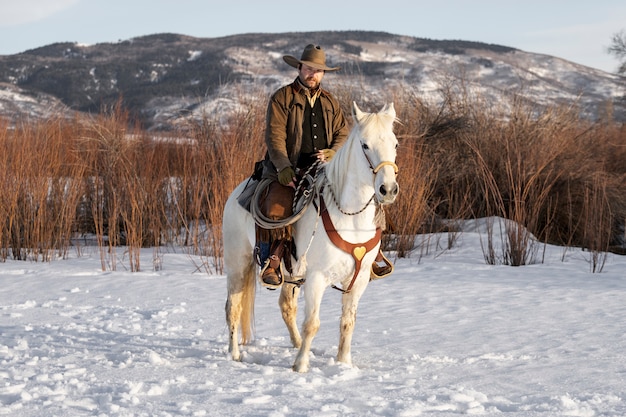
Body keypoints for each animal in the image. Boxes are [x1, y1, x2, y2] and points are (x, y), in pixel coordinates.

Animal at [222, 101, 398, 370]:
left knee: (286, 306)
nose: (387, 189)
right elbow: (312, 324)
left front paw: (343, 363)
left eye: (395, 144)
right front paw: (301, 366)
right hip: (237, 265)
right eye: (365, 145)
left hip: (290, 276)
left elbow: (348, 322)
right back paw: (235, 355)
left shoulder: (357, 281)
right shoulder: (317, 278)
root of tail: (237, 194)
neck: (349, 218)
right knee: (233, 307)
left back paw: (295, 345)